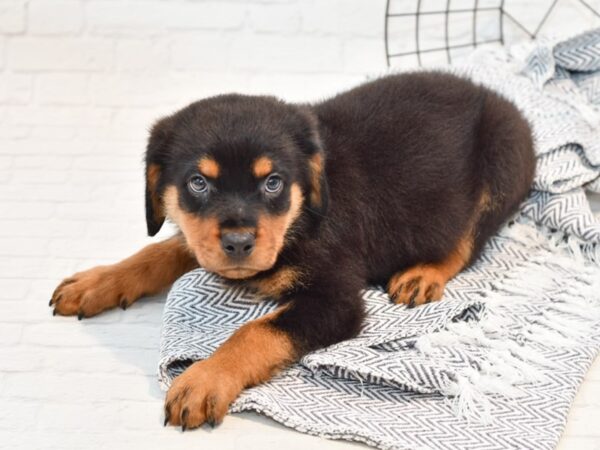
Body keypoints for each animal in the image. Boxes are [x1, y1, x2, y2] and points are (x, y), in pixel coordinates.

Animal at [48, 72, 536, 430]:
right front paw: (97, 281)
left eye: (273, 182)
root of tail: (493, 94)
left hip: (503, 164)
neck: (301, 215)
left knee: (467, 241)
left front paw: (204, 379)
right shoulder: (203, 240)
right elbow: (161, 250)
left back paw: (423, 274)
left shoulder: (336, 300)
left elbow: (256, 332)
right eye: (198, 183)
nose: (239, 243)